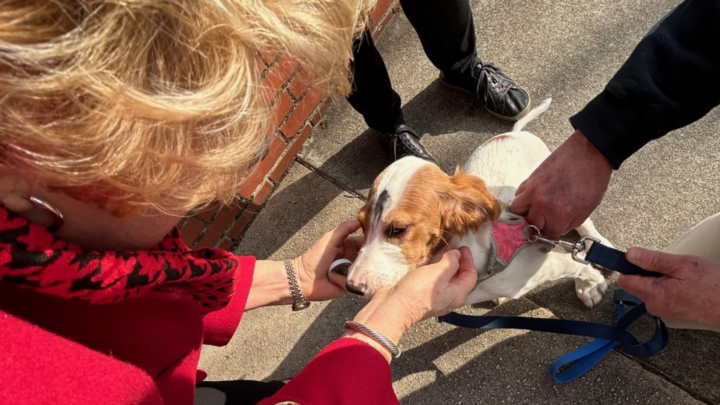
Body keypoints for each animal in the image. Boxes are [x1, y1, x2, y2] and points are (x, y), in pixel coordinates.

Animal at [346, 99, 612, 308]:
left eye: (398, 230)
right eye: (361, 225)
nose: (352, 287)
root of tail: (515, 132)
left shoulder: (537, 267)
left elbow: (573, 263)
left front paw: (590, 283)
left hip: (558, 190)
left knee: (582, 221)